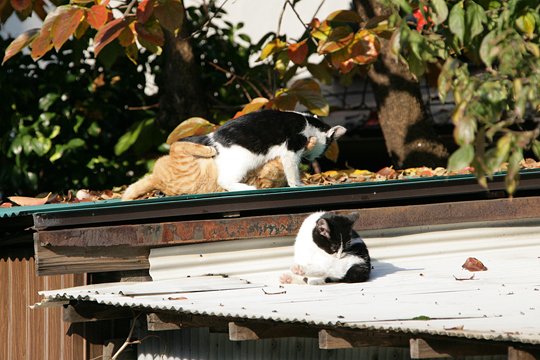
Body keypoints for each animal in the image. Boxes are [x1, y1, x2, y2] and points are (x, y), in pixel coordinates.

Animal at [182, 109, 346, 193]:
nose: (312, 159)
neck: (309, 123)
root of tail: (212, 135)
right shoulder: (291, 150)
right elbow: (293, 174)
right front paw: (298, 184)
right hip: (241, 163)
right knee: (223, 181)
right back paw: (244, 188)